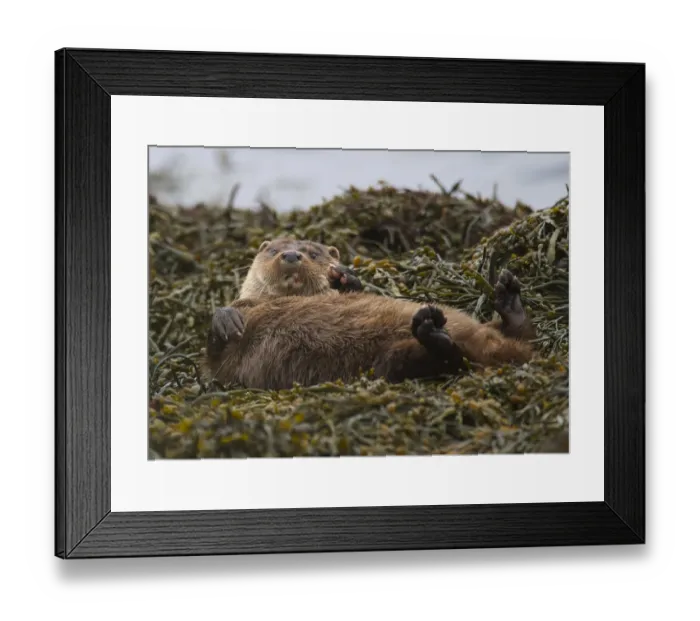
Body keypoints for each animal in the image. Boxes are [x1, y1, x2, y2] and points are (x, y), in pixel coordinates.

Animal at [204, 237, 536, 390]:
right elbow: (213, 355)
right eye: (273, 251)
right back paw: (434, 334)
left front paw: (345, 279)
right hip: (390, 359)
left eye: (313, 253)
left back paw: (508, 302)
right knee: (455, 359)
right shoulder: (226, 365)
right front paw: (227, 318)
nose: (291, 255)